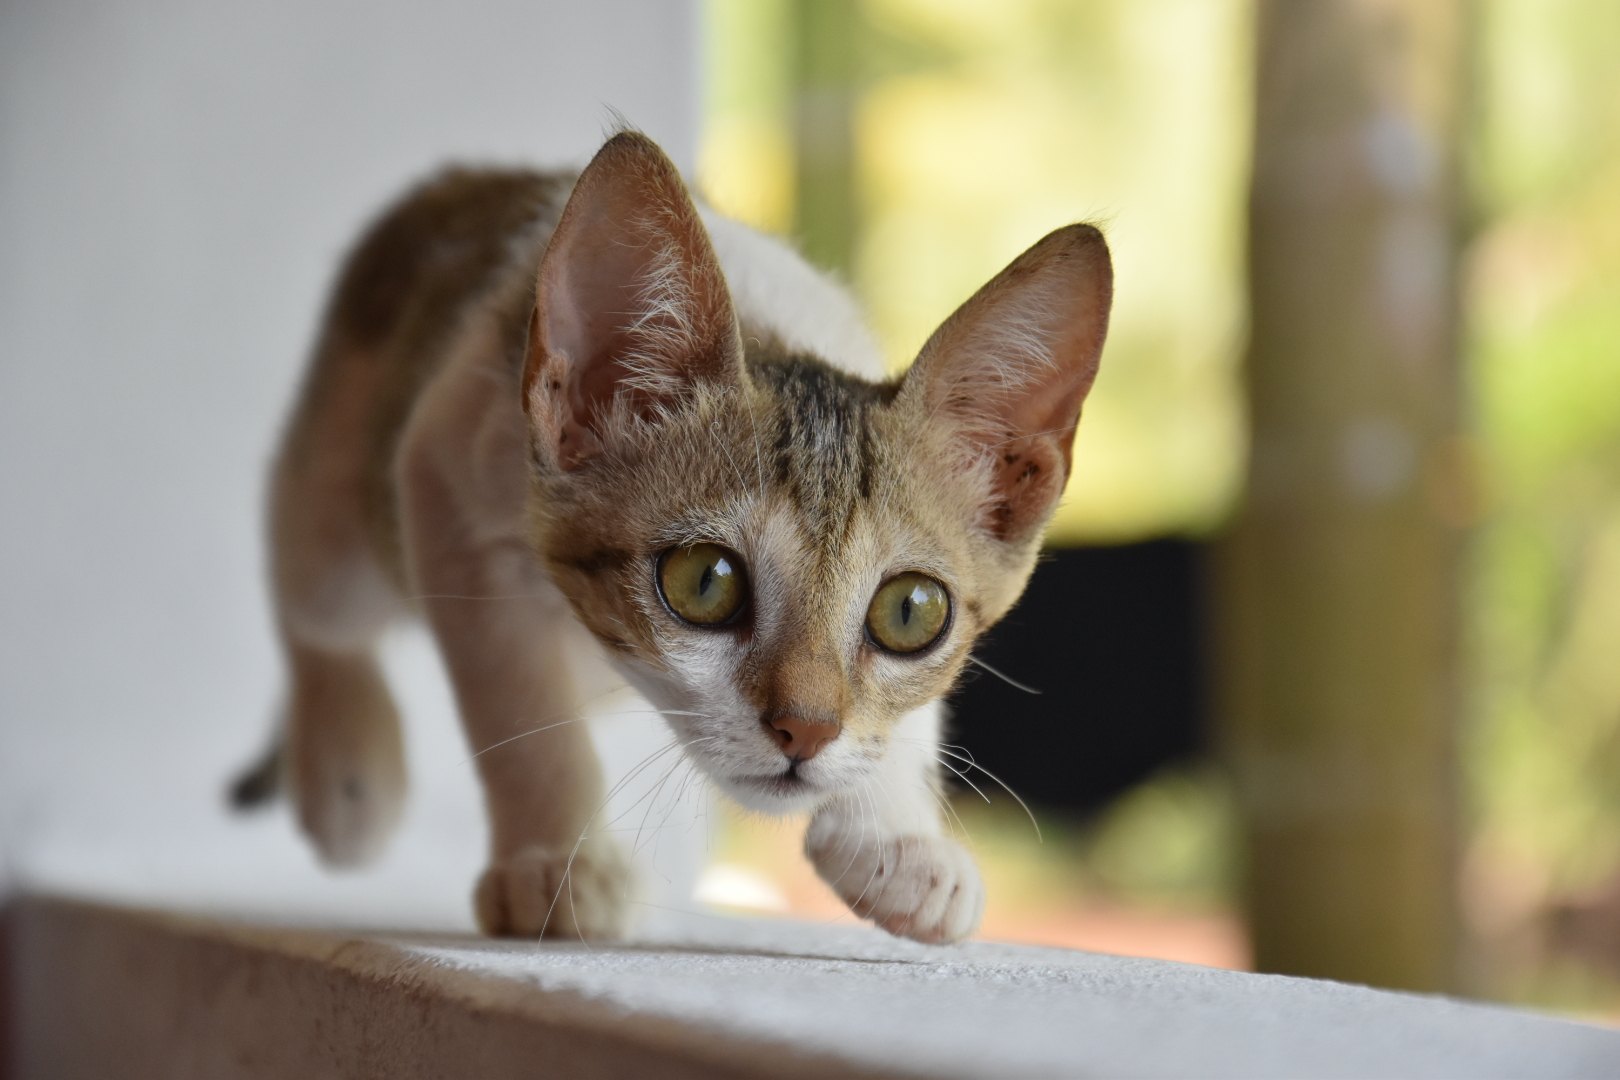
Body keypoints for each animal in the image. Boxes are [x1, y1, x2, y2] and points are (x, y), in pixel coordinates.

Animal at [231, 128, 1114, 945]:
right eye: (704, 582)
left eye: (910, 612)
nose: (806, 729)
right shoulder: (443, 468)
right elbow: (513, 699)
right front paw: (558, 863)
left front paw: (895, 838)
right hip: (346, 494)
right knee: (315, 604)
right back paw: (348, 775)